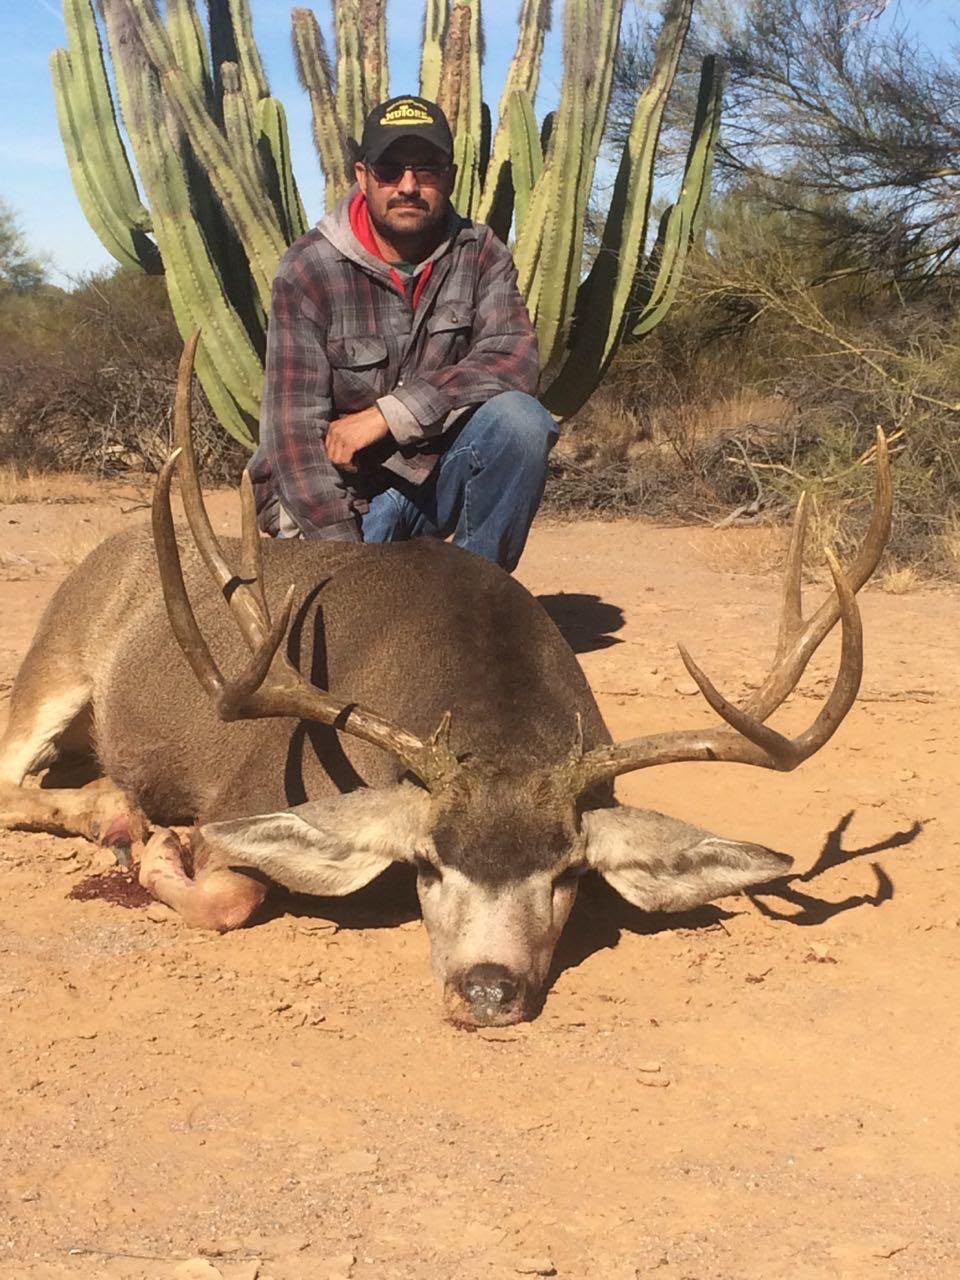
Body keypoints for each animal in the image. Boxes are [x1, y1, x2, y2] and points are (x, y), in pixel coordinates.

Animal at [0, 335, 892, 1027]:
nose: (489, 990)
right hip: (52, 665)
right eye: (427, 863)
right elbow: (230, 896)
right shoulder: (245, 792)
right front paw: (156, 851)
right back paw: (117, 816)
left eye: (568, 874)